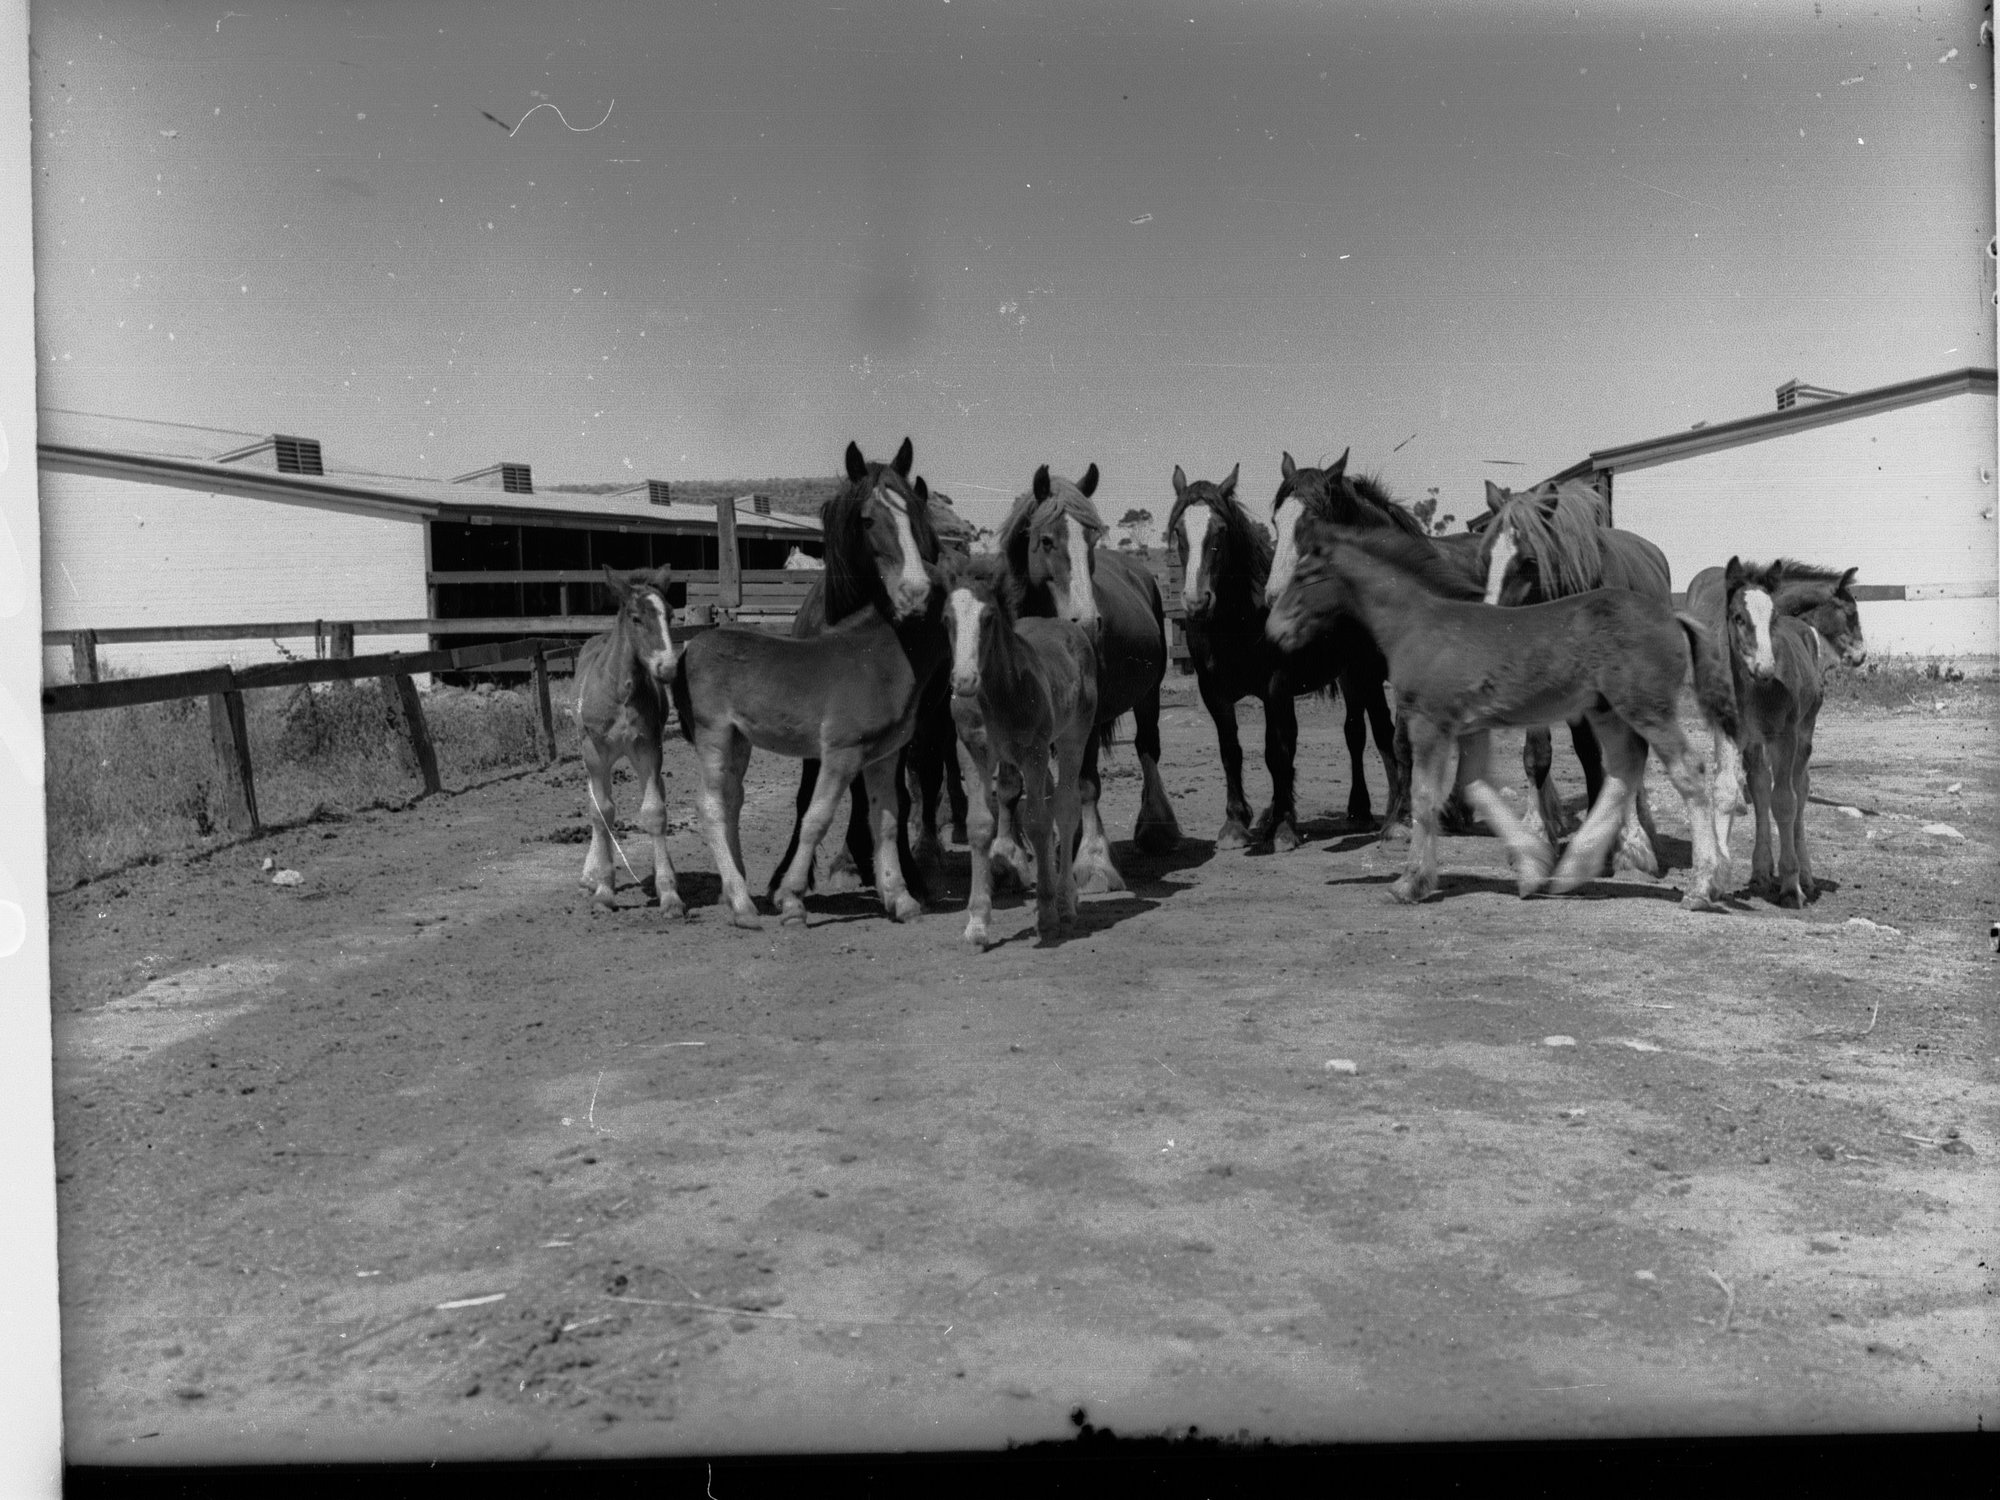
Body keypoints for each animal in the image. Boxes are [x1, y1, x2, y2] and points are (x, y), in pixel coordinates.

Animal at [574, 565, 684, 914]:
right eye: (636, 618)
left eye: (671, 615)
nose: (667, 667)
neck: (619, 690)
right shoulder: (595, 753)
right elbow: (602, 812)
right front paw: (604, 890)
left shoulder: (649, 749)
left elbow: (654, 812)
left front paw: (670, 894)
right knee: (596, 802)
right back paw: (589, 876)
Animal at [765, 439, 945, 905]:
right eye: (866, 519)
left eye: (916, 515)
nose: (917, 591)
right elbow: (806, 798)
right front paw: (783, 876)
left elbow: (895, 797)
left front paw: (906, 875)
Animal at [942, 554, 1098, 950]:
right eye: (947, 618)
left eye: (988, 617)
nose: (963, 680)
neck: (997, 693)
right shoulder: (972, 751)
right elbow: (980, 825)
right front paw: (977, 923)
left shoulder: (1034, 751)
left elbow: (1038, 822)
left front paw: (1046, 916)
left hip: (1073, 737)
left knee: (1065, 808)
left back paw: (1065, 902)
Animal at [994, 463, 1181, 894]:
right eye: (1046, 540)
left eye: (1092, 539)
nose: (1088, 621)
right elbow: (1012, 783)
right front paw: (1009, 858)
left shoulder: (1089, 717)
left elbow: (1087, 783)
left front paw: (1095, 863)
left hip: (1148, 696)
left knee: (1147, 749)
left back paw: (1156, 829)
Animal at [1685, 558, 1865, 879]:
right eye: (1851, 613)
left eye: (1773, 619)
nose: (1861, 655)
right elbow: (1740, 786)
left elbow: (1781, 792)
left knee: (1796, 785)